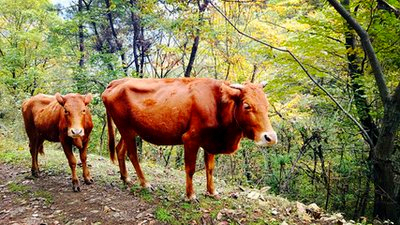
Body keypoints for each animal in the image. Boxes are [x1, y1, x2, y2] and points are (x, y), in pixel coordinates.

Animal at [102, 78, 278, 200]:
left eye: (267, 105)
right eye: (247, 105)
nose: (271, 137)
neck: (217, 104)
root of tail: (116, 82)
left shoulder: (210, 141)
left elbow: (210, 168)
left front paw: (212, 192)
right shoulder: (190, 139)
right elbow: (190, 169)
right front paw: (190, 195)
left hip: (130, 130)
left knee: (120, 150)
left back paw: (125, 178)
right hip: (126, 128)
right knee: (132, 155)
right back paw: (145, 183)